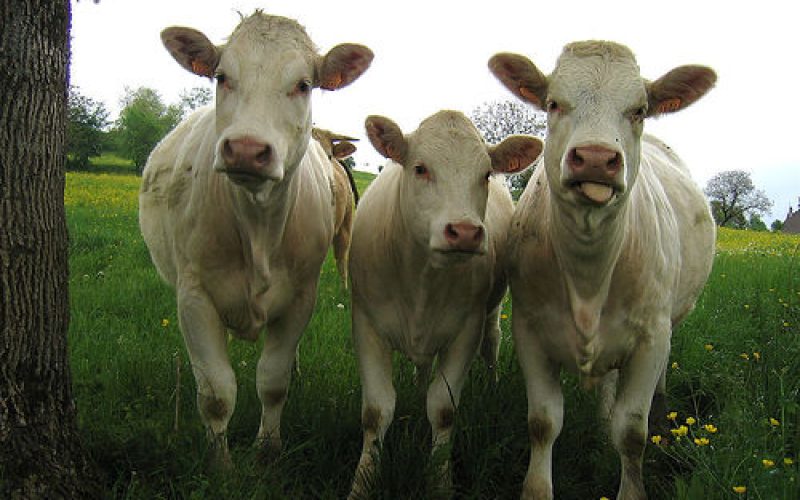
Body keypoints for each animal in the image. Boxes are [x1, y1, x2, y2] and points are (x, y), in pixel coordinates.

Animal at [138, 10, 373, 468]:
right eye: (222, 76)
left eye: (304, 84)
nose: (246, 149)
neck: (258, 227)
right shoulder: (194, 297)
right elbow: (215, 392)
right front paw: (221, 465)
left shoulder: (300, 297)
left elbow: (273, 380)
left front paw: (267, 450)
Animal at [348, 110, 543, 498]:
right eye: (421, 168)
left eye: (485, 174)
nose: (465, 232)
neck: (422, 280)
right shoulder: (367, 325)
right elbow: (376, 411)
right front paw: (362, 483)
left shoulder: (465, 330)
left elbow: (442, 409)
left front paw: (439, 482)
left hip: (492, 311)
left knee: (492, 343)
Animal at [488, 41, 716, 499]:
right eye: (553, 103)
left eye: (640, 110)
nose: (595, 158)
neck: (588, 277)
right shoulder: (530, 330)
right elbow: (542, 422)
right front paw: (536, 488)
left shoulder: (651, 338)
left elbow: (632, 432)